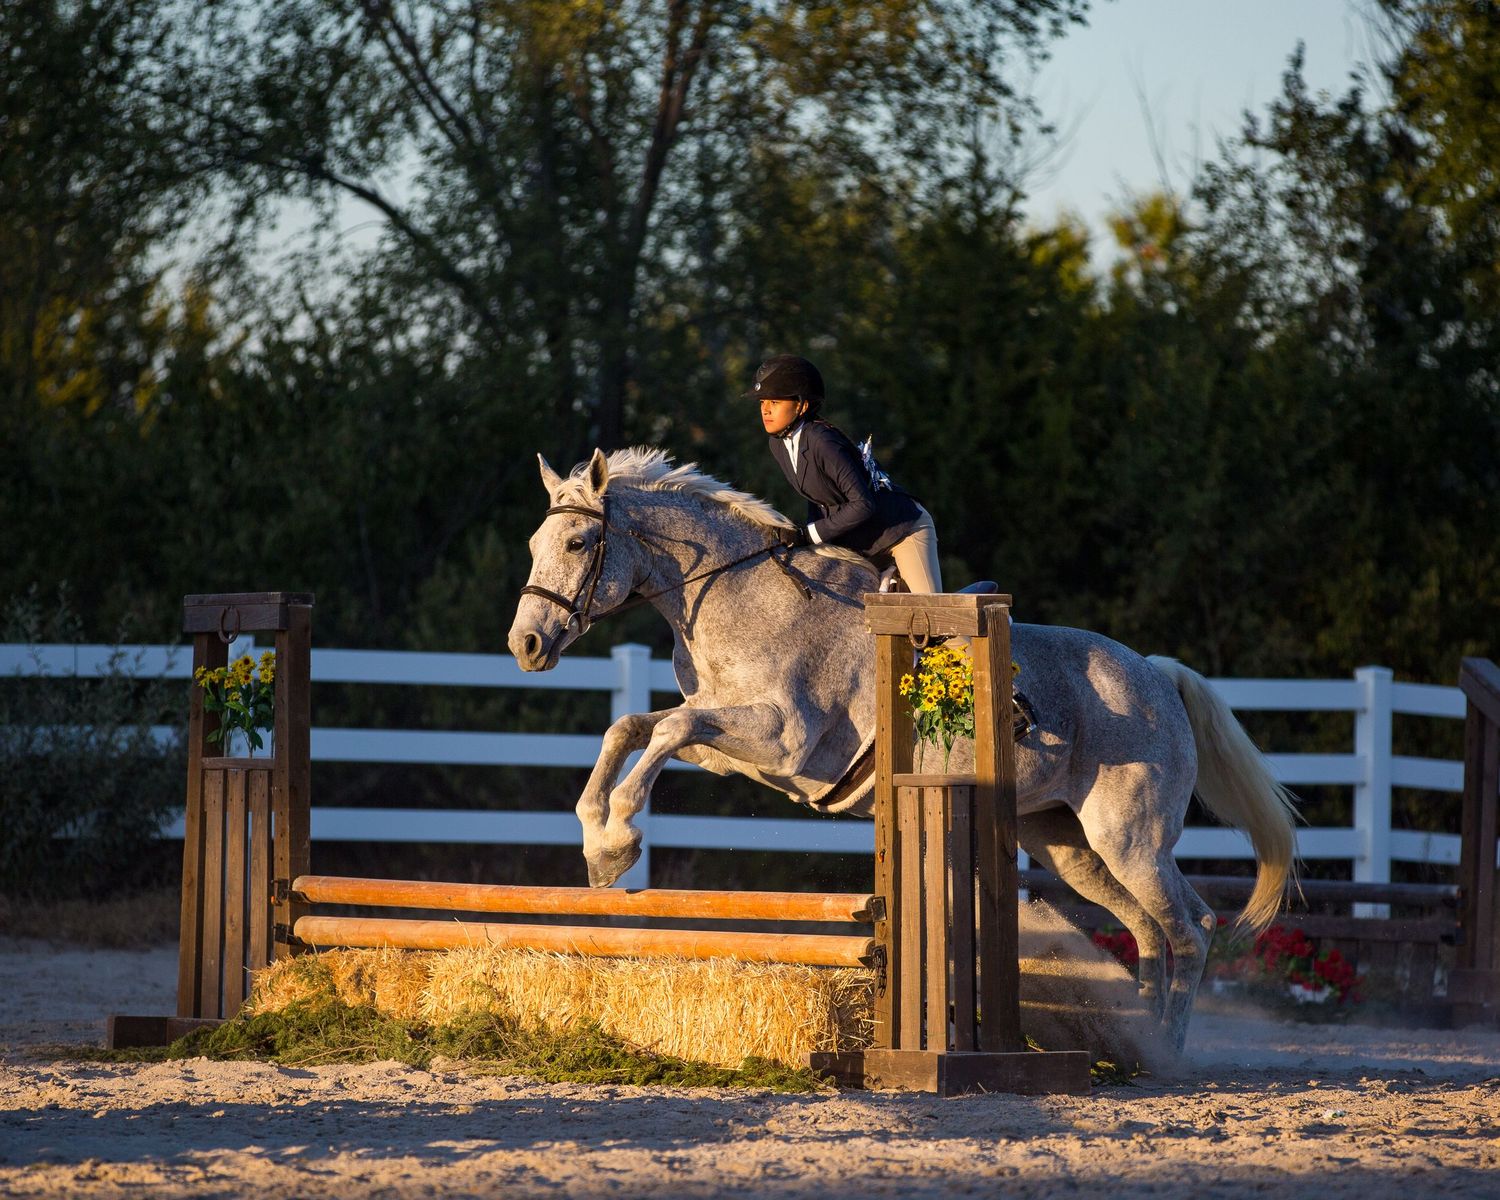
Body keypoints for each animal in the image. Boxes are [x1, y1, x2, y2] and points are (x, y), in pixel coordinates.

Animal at [507, 446, 1298, 1052]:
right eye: (534, 547)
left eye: (578, 544)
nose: (527, 645)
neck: (738, 596)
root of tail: (1156, 675)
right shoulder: (737, 748)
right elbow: (634, 729)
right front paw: (599, 843)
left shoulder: (781, 738)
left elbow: (665, 731)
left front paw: (619, 838)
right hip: (1066, 844)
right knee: (1145, 927)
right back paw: (1134, 1037)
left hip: (1129, 836)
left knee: (1190, 928)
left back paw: (1166, 1049)